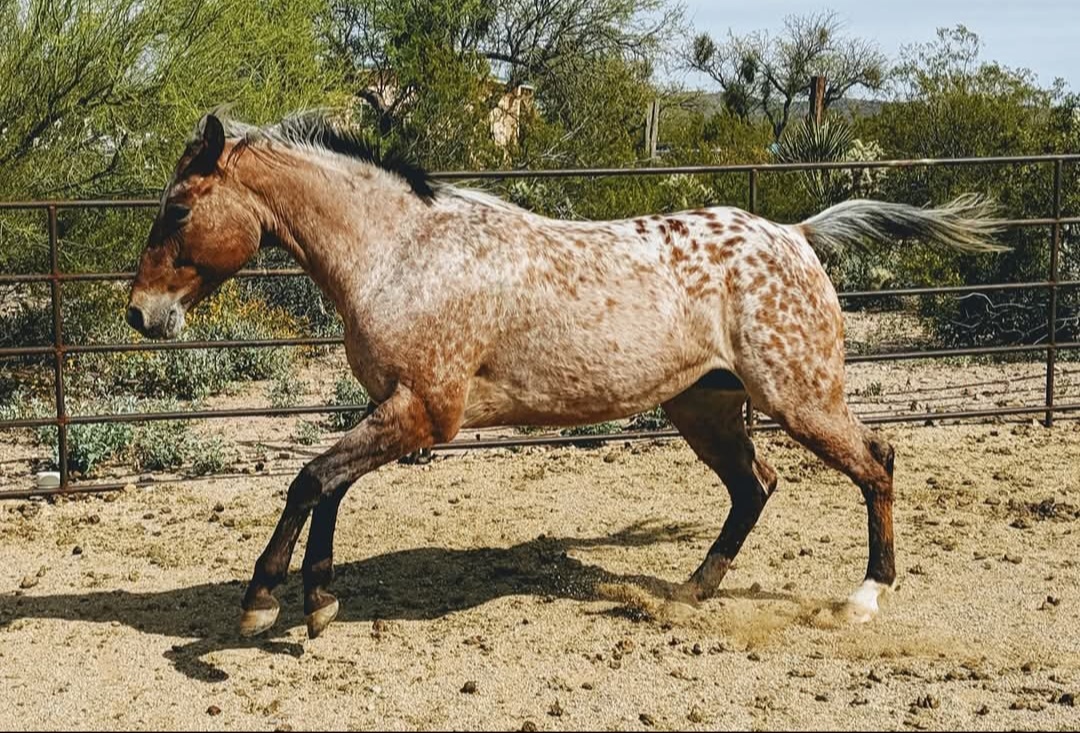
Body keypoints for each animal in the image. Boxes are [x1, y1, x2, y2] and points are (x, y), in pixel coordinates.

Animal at [126, 112, 1003, 639]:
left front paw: (261, 603)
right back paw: (688, 591)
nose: (140, 314)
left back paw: (864, 596)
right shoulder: (393, 408)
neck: (400, 252)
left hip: (800, 397)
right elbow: (329, 486)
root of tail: (795, 233)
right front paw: (316, 603)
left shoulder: (424, 411)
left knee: (876, 463)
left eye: (178, 207)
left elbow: (310, 478)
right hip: (707, 409)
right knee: (756, 485)